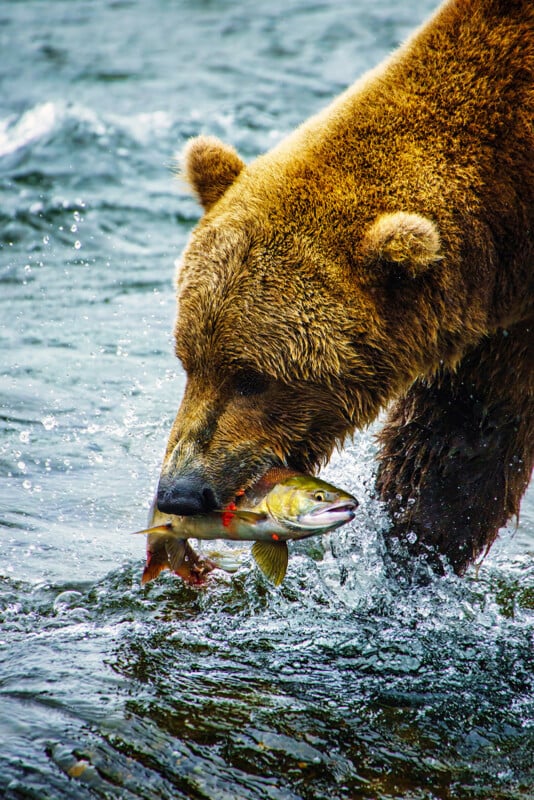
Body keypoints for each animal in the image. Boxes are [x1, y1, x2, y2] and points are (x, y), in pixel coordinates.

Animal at [154, 0, 533, 575]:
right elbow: (462, 442)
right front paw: (412, 547)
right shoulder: (504, 326)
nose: (180, 492)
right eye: (188, 362)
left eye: (252, 378)